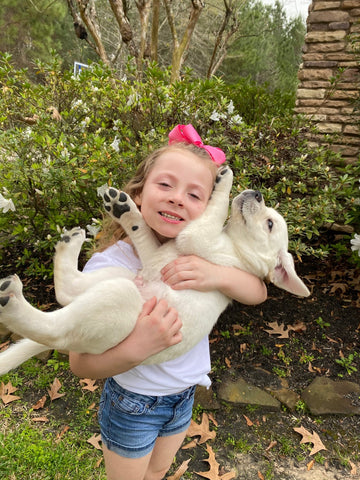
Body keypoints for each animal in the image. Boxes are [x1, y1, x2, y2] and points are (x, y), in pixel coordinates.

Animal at [0, 169, 310, 376]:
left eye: (269, 224)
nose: (257, 193)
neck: (235, 247)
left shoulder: (195, 237)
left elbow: (214, 209)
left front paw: (225, 179)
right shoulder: (153, 257)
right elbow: (144, 231)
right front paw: (126, 210)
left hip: (118, 299)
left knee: (56, 331)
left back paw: (11, 302)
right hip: (119, 276)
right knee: (67, 291)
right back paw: (70, 243)